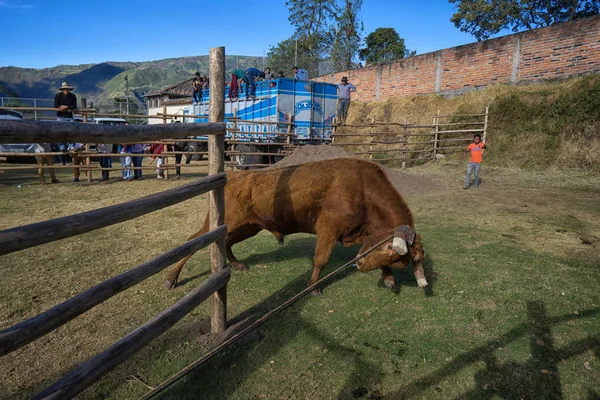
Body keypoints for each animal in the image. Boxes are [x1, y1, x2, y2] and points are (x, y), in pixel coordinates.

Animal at [164, 159, 426, 294]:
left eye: (398, 259)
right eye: (390, 250)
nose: (360, 265)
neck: (362, 188)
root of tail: (233, 176)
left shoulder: (355, 235)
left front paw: (389, 279)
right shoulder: (328, 230)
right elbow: (321, 260)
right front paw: (313, 287)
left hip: (248, 227)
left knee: (226, 242)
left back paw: (237, 264)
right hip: (226, 223)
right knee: (193, 241)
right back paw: (171, 278)